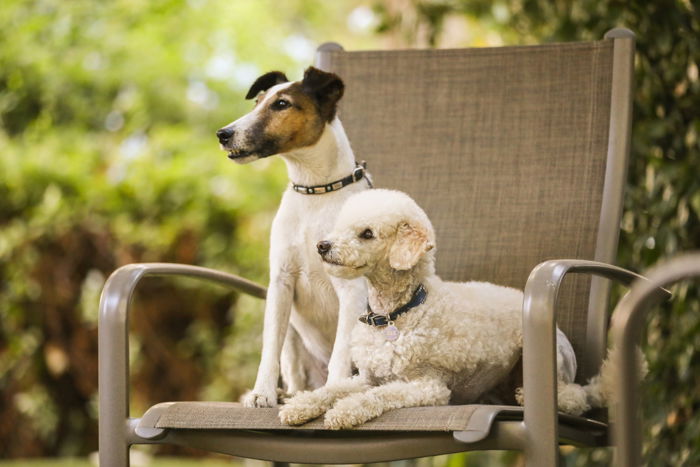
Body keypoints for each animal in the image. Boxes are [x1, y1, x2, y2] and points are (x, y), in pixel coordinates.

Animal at [216, 67, 372, 408]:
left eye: (282, 104)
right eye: (257, 102)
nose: (223, 133)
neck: (314, 191)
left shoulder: (351, 291)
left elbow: (341, 351)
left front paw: (334, 392)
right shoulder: (281, 283)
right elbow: (268, 349)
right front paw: (262, 393)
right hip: (294, 338)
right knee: (294, 372)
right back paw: (289, 394)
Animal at [278, 188, 592, 430]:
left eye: (367, 233)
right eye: (340, 225)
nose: (322, 245)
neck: (396, 313)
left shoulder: (428, 387)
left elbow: (379, 396)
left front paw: (344, 411)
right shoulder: (367, 377)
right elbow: (333, 389)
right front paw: (301, 405)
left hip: (552, 361)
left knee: (575, 396)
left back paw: (532, 396)